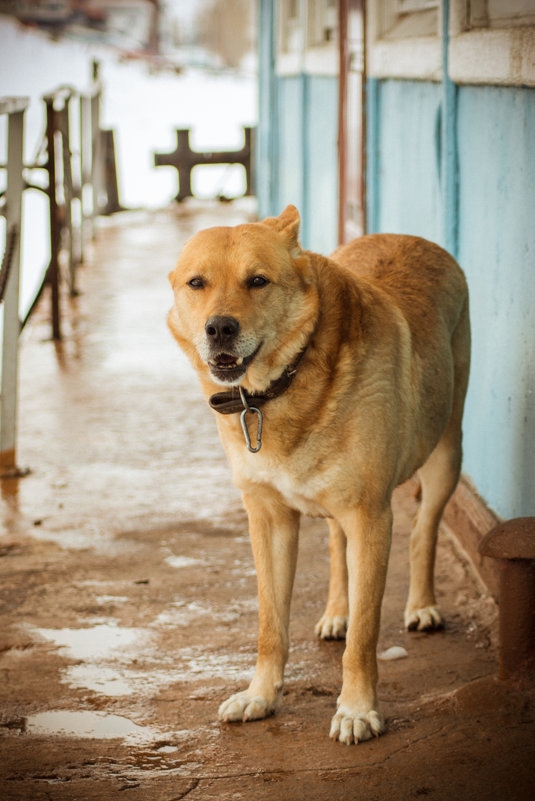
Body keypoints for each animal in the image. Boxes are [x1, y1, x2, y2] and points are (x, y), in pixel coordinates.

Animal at [166, 206, 468, 744]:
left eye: (258, 281)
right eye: (196, 283)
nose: (219, 328)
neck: (278, 389)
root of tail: (410, 236)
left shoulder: (371, 518)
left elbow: (366, 635)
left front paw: (357, 709)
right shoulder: (269, 521)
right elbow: (270, 625)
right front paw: (261, 696)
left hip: (445, 455)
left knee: (424, 530)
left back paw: (421, 604)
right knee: (335, 548)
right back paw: (336, 612)